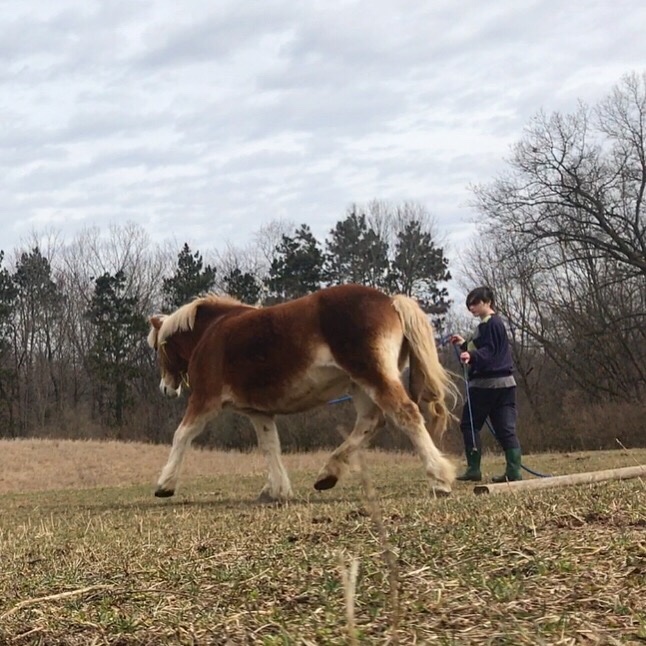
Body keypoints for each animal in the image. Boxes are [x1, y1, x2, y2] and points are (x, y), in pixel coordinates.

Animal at [147, 284, 459, 501]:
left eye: (159, 348)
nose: (165, 388)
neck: (211, 332)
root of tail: (391, 301)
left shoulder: (204, 400)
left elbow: (182, 435)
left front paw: (165, 485)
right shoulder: (258, 412)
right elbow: (270, 446)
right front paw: (276, 490)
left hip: (373, 376)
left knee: (406, 415)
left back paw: (439, 480)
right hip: (359, 385)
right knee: (370, 423)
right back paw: (328, 474)